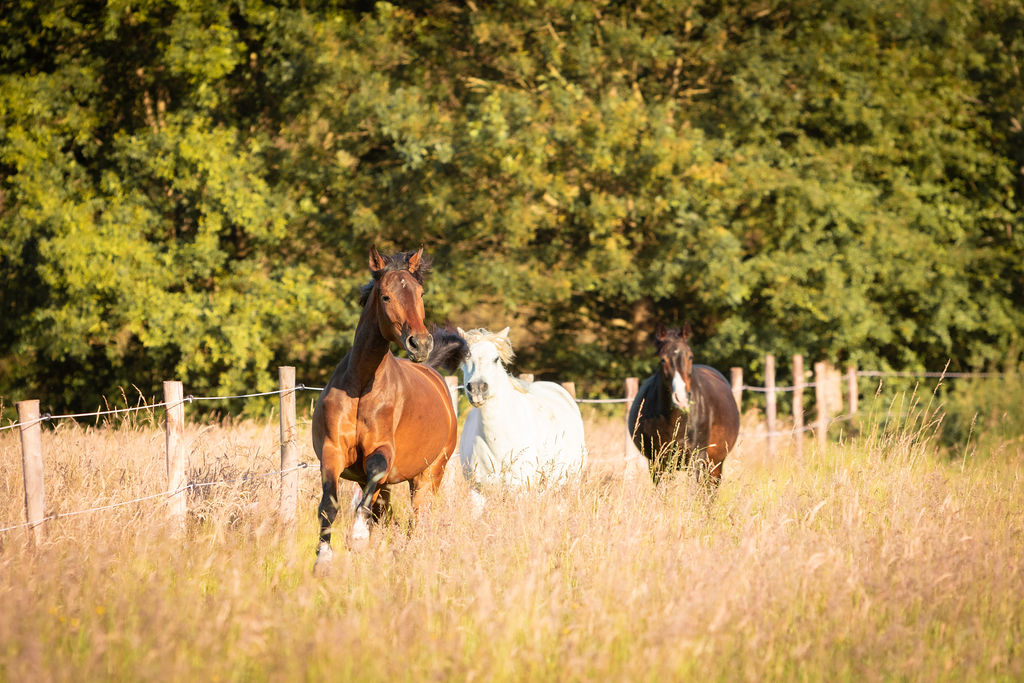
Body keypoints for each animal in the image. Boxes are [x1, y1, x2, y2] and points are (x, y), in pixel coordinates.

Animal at [311, 246, 467, 571]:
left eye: (421, 293)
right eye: (385, 296)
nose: (420, 344)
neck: (361, 386)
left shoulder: (382, 452)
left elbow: (372, 482)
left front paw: (358, 537)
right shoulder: (332, 451)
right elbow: (329, 505)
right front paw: (323, 559)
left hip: (429, 475)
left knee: (417, 520)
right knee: (390, 517)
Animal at [627, 323, 739, 493]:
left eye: (690, 356)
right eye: (663, 359)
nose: (681, 398)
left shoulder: (696, 457)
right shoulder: (657, 460)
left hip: (715, 463)